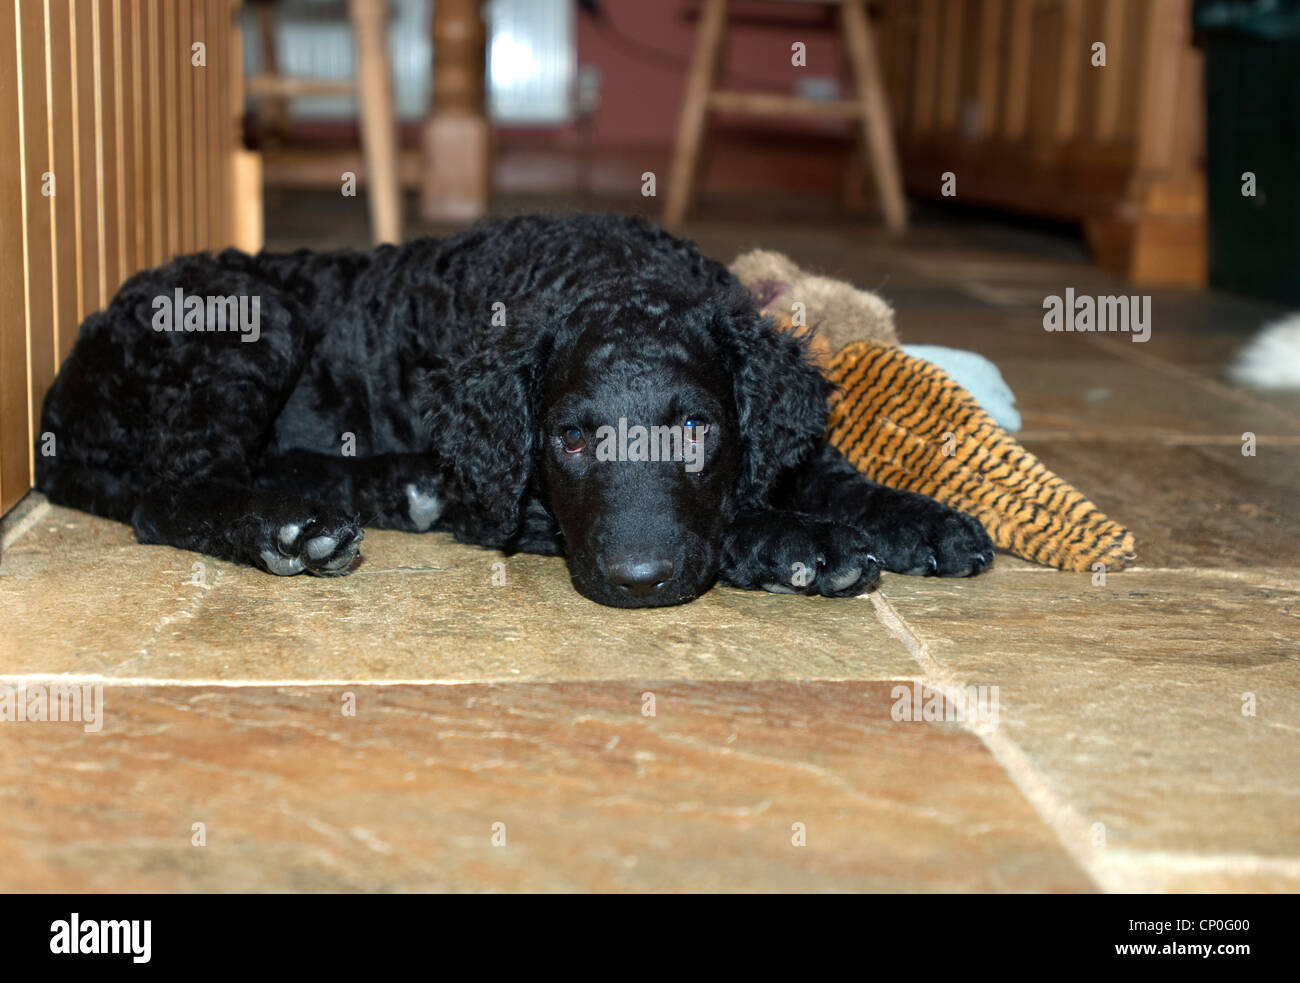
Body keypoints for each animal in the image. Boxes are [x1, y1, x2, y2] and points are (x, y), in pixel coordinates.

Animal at [38, 214, 993, 605]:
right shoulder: (513, 501)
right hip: (253, 321)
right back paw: (288, 529)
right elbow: (741, 514)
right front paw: (801, 544)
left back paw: (390, 489)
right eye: (568, 438)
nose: (637, 582)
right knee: (170, 493)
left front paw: (914, 517)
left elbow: (819, 464)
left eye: (695, 429)